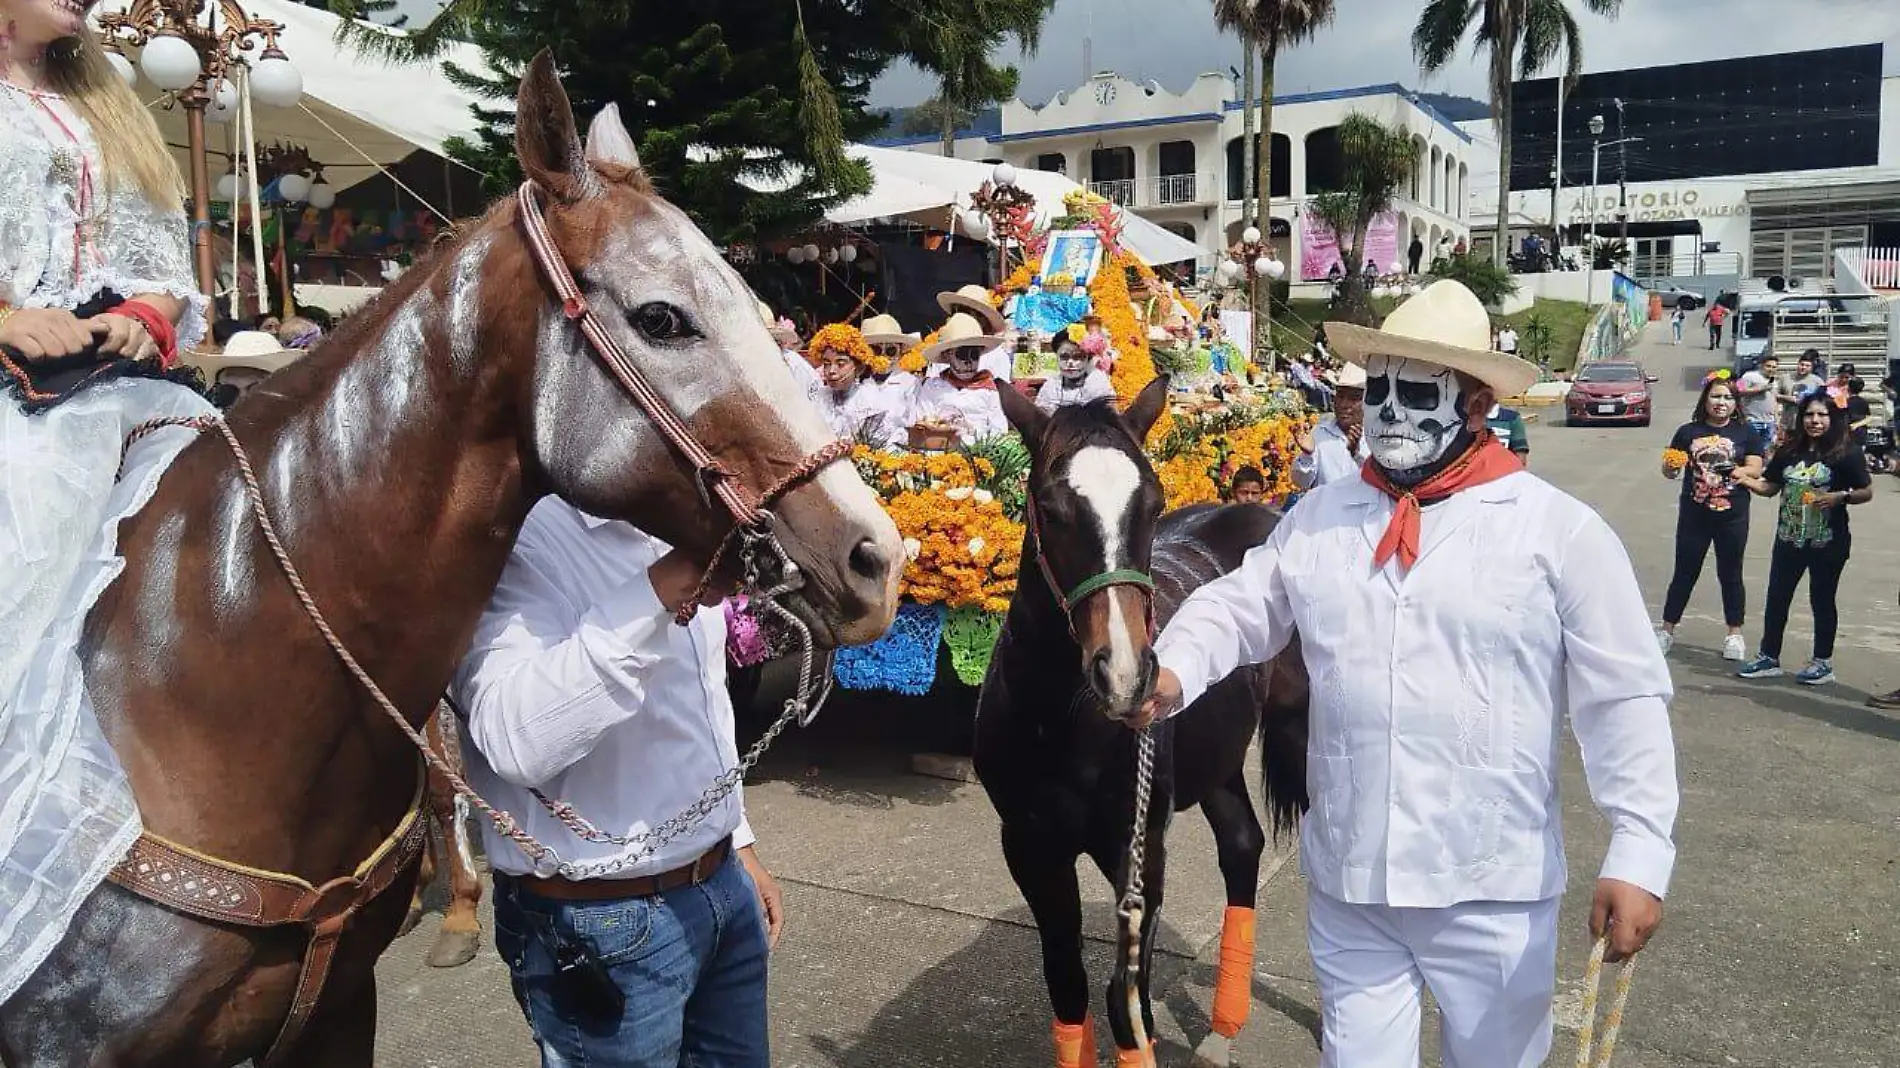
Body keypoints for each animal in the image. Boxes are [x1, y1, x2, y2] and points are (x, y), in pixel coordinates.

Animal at [980, 381, 1307, 1064]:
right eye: (1049, 509)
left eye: (1154, 503)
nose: (1127, 671)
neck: (1066, 731)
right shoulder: (1030, 847)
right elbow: (1068, 988)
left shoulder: (1139, 849)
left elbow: (1126, 1006)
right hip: (1218, 764)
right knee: (1243, 846)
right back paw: (1220, 1033)